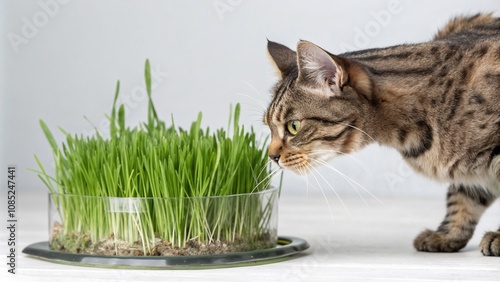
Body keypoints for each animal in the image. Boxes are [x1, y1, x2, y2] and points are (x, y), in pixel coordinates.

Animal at [266, 13, 500, 256]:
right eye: (268, 125)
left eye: (293, 126)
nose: (271, 156)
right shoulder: (469, 175)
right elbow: (462, 198)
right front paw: (447, 235)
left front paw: (499, 238)